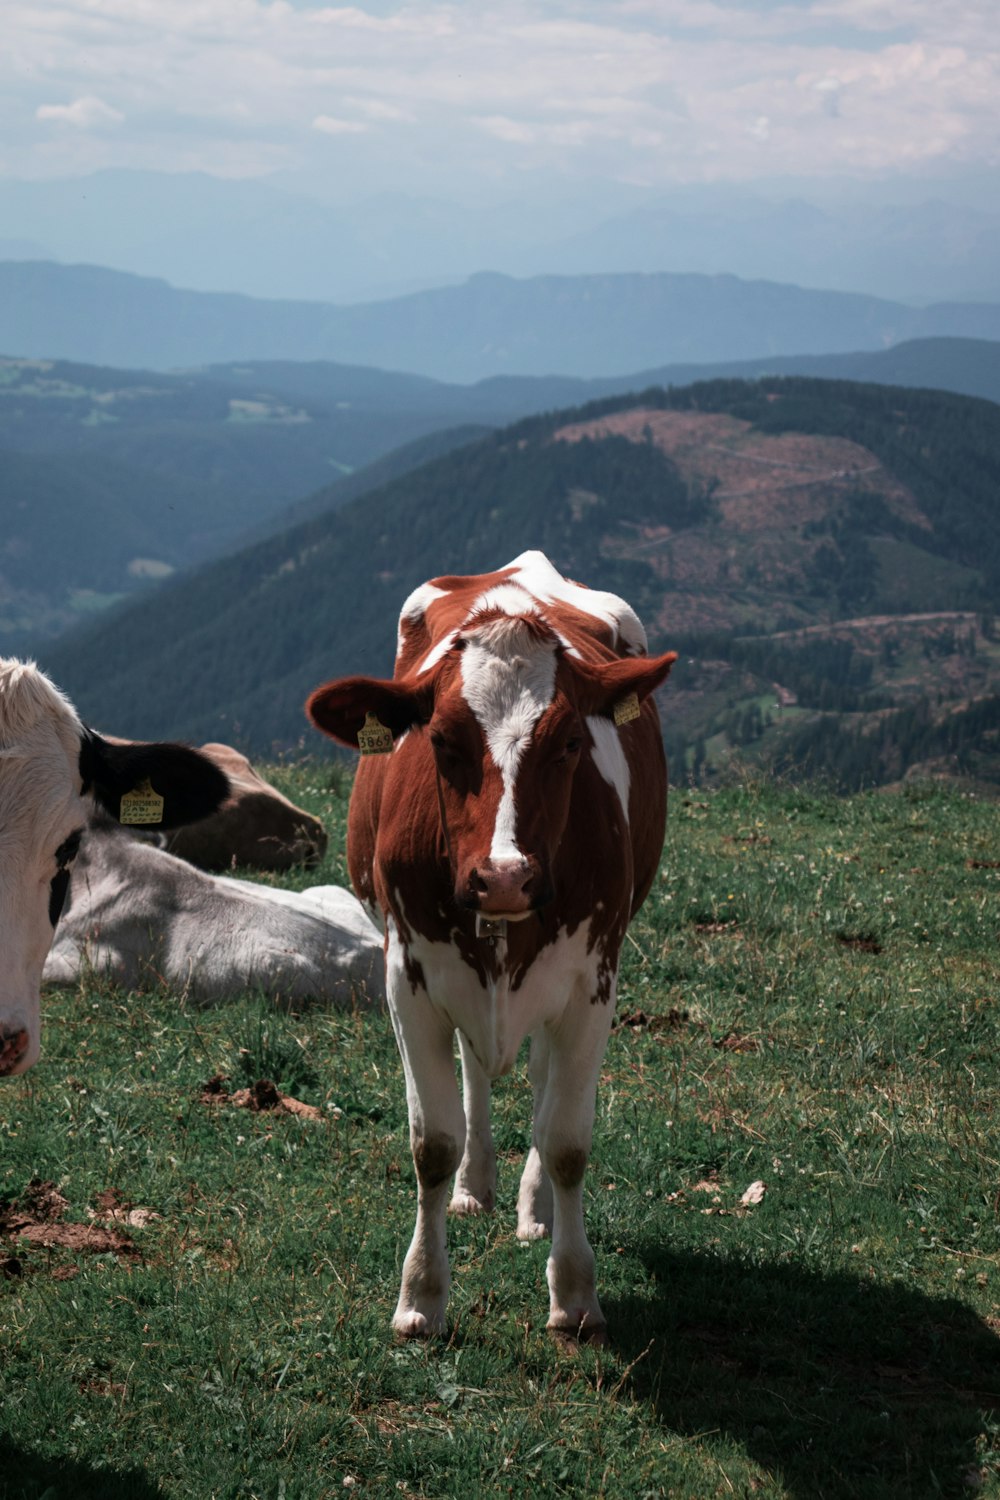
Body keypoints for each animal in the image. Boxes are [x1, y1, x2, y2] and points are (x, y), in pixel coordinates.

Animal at [308, 549, 677, 1338]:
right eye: (443, 740)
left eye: (570, 743)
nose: (505, 876)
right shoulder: (408, 976)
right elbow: (433, 1142)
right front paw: (420, 1296)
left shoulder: (593, 979)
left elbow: (566, 1139)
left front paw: (574, 1292)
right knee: (476, 1073)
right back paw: (477, 1185)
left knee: (538, 1085)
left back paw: (533, 1209)